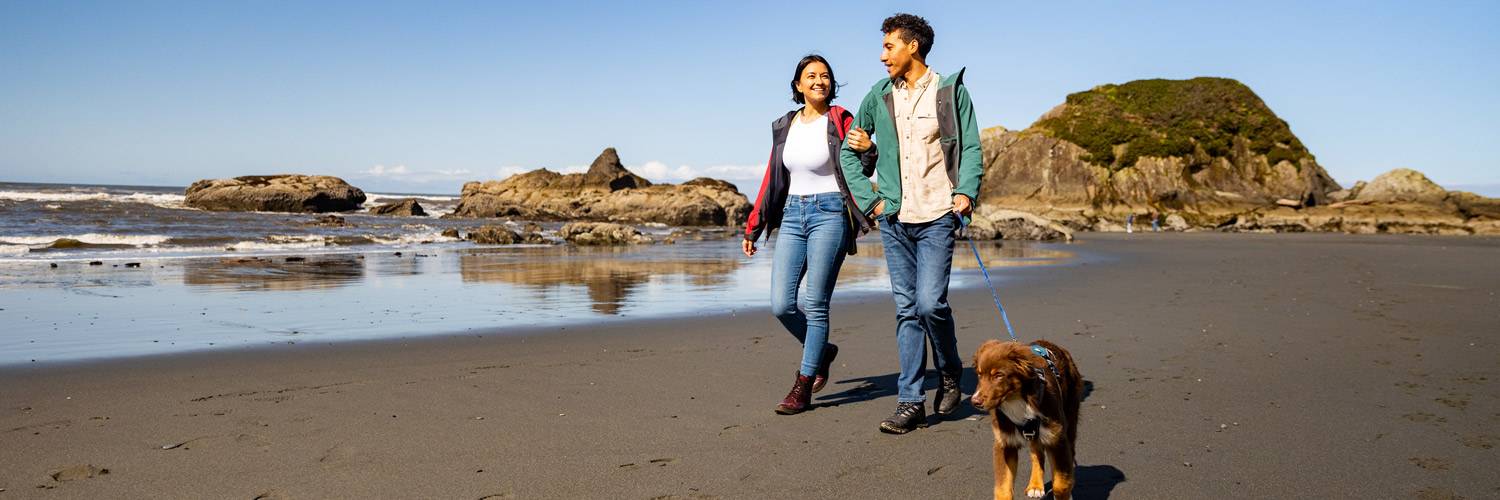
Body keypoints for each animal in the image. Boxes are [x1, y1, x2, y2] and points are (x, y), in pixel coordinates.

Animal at [966, 339, 1086, 498]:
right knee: (1037, 454)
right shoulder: (1004, 442)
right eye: (979, 375)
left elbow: (1061, 483)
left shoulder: (1057, 438)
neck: (1017, 400)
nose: (975, 402)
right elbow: (1002, 488)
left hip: (1070, 421)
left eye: (999, 375)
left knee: (1070, 454)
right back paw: (1035, 485)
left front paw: (1064, 490)